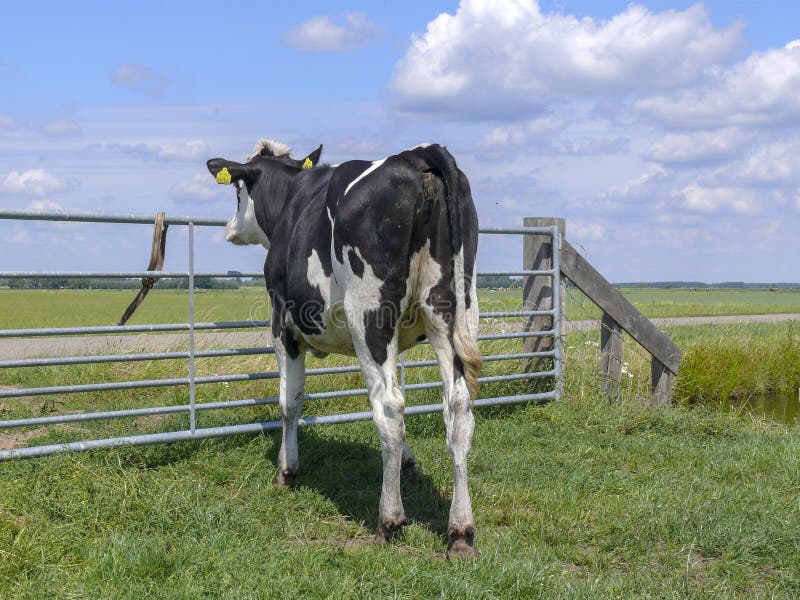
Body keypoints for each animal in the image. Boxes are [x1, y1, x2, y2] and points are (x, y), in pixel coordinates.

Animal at [208, 138, 482, 556]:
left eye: (238, 191)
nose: (229, 229)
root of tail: (417, 154)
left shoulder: (282, 326)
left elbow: (290, 401)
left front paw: (286, 470)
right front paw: (408, 465)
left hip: (369, 316)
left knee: (389, 407)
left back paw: (389, 519)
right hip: (452, 311)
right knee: (458, 409)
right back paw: (461, 530)